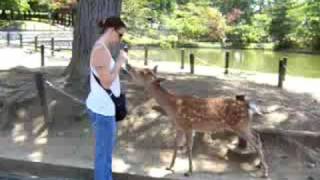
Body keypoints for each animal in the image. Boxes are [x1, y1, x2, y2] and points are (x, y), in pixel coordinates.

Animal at [126, 63, 268, 177]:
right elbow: (176, 145)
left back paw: (265, 172)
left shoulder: (188, 125)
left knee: (256, 141)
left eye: (143, 72)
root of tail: (247, 105)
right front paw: (170, 166)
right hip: (245, 124)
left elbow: (189, 147)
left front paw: (189, 171)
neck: (173, 107)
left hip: (240, 125)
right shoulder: (179, 126)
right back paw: (259, 166)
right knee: (257, 136)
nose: (129, 66)